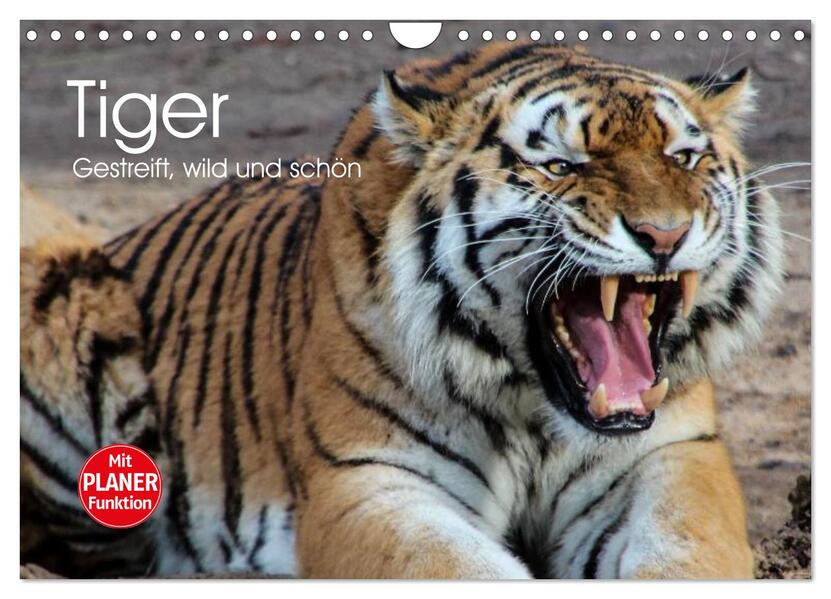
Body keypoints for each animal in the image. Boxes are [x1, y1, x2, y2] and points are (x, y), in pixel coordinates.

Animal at [20, 42, 784, 579]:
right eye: (560, 167)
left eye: (683, 158)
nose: (663, 234)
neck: (534, 407)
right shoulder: (369, 478)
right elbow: (458, 567)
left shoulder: (671, 453)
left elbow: (688, 549)